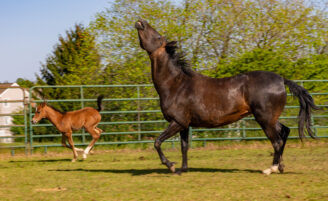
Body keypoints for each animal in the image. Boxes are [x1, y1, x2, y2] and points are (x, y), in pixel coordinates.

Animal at [135, 19, 318, 175]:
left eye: (158, 37)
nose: (141, 22)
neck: (176, 85)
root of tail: (281, 79)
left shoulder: (177, 122)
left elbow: (157, 142)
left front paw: (171, 166)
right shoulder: (184, 124)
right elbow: (184, 147)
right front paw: (182, 169)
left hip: (264, 119)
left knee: (277, 141)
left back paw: (270, 169)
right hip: (270, 118)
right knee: (284, 132)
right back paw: (280, 166)